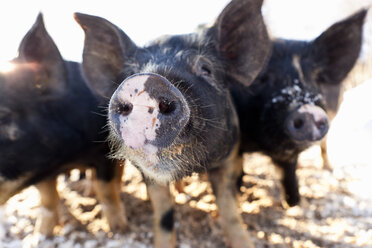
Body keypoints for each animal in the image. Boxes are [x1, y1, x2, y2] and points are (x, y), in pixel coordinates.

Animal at [0, 14, 127, 235]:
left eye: (2, 116)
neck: (66, 157)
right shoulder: (42, 170)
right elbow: (48, 198)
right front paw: (41, 234)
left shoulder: (105, 151)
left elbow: (106, 189)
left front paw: (119, 229)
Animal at [73, 0, 270, 246]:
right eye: (131, 72)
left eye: (206, 69)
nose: (147, 80)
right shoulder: (147, 173)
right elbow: (163, 215)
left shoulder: (228, 157)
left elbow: (229, 209)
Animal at [232, 9, 366, 207]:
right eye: (263, 77)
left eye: (317, 78)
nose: (308, 110)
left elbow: (290, 176)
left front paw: (294, 203)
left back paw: (328, 169)